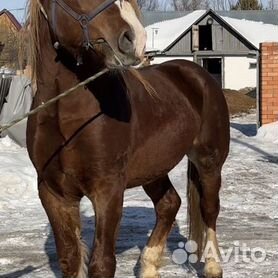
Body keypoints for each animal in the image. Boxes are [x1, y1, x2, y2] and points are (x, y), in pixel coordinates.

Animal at [26, 0, 230, 278]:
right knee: (169, 203)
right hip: (153, 169)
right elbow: (70, 259)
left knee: (209, 209)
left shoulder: (108, 189)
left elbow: (102, 262)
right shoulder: (53, 192)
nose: (135, 38)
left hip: (209, 161)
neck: (65, 115)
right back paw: (148, 266)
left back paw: (212, 265)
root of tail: (198, 74)